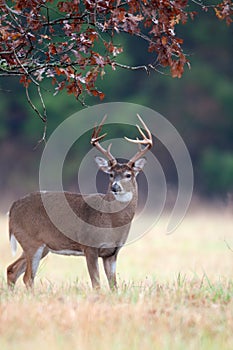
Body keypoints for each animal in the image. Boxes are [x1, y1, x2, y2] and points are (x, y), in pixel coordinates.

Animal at [6, 115, 152, 290]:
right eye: (111, 174)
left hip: (41, 246)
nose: (115, 187)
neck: (111, 222)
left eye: (128, 175)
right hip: (31, 241)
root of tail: (12, 207)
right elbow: (96, 284)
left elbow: (114, 286)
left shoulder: (113, 252)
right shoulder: (89, 246)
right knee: (27, 277)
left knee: (11, 270)